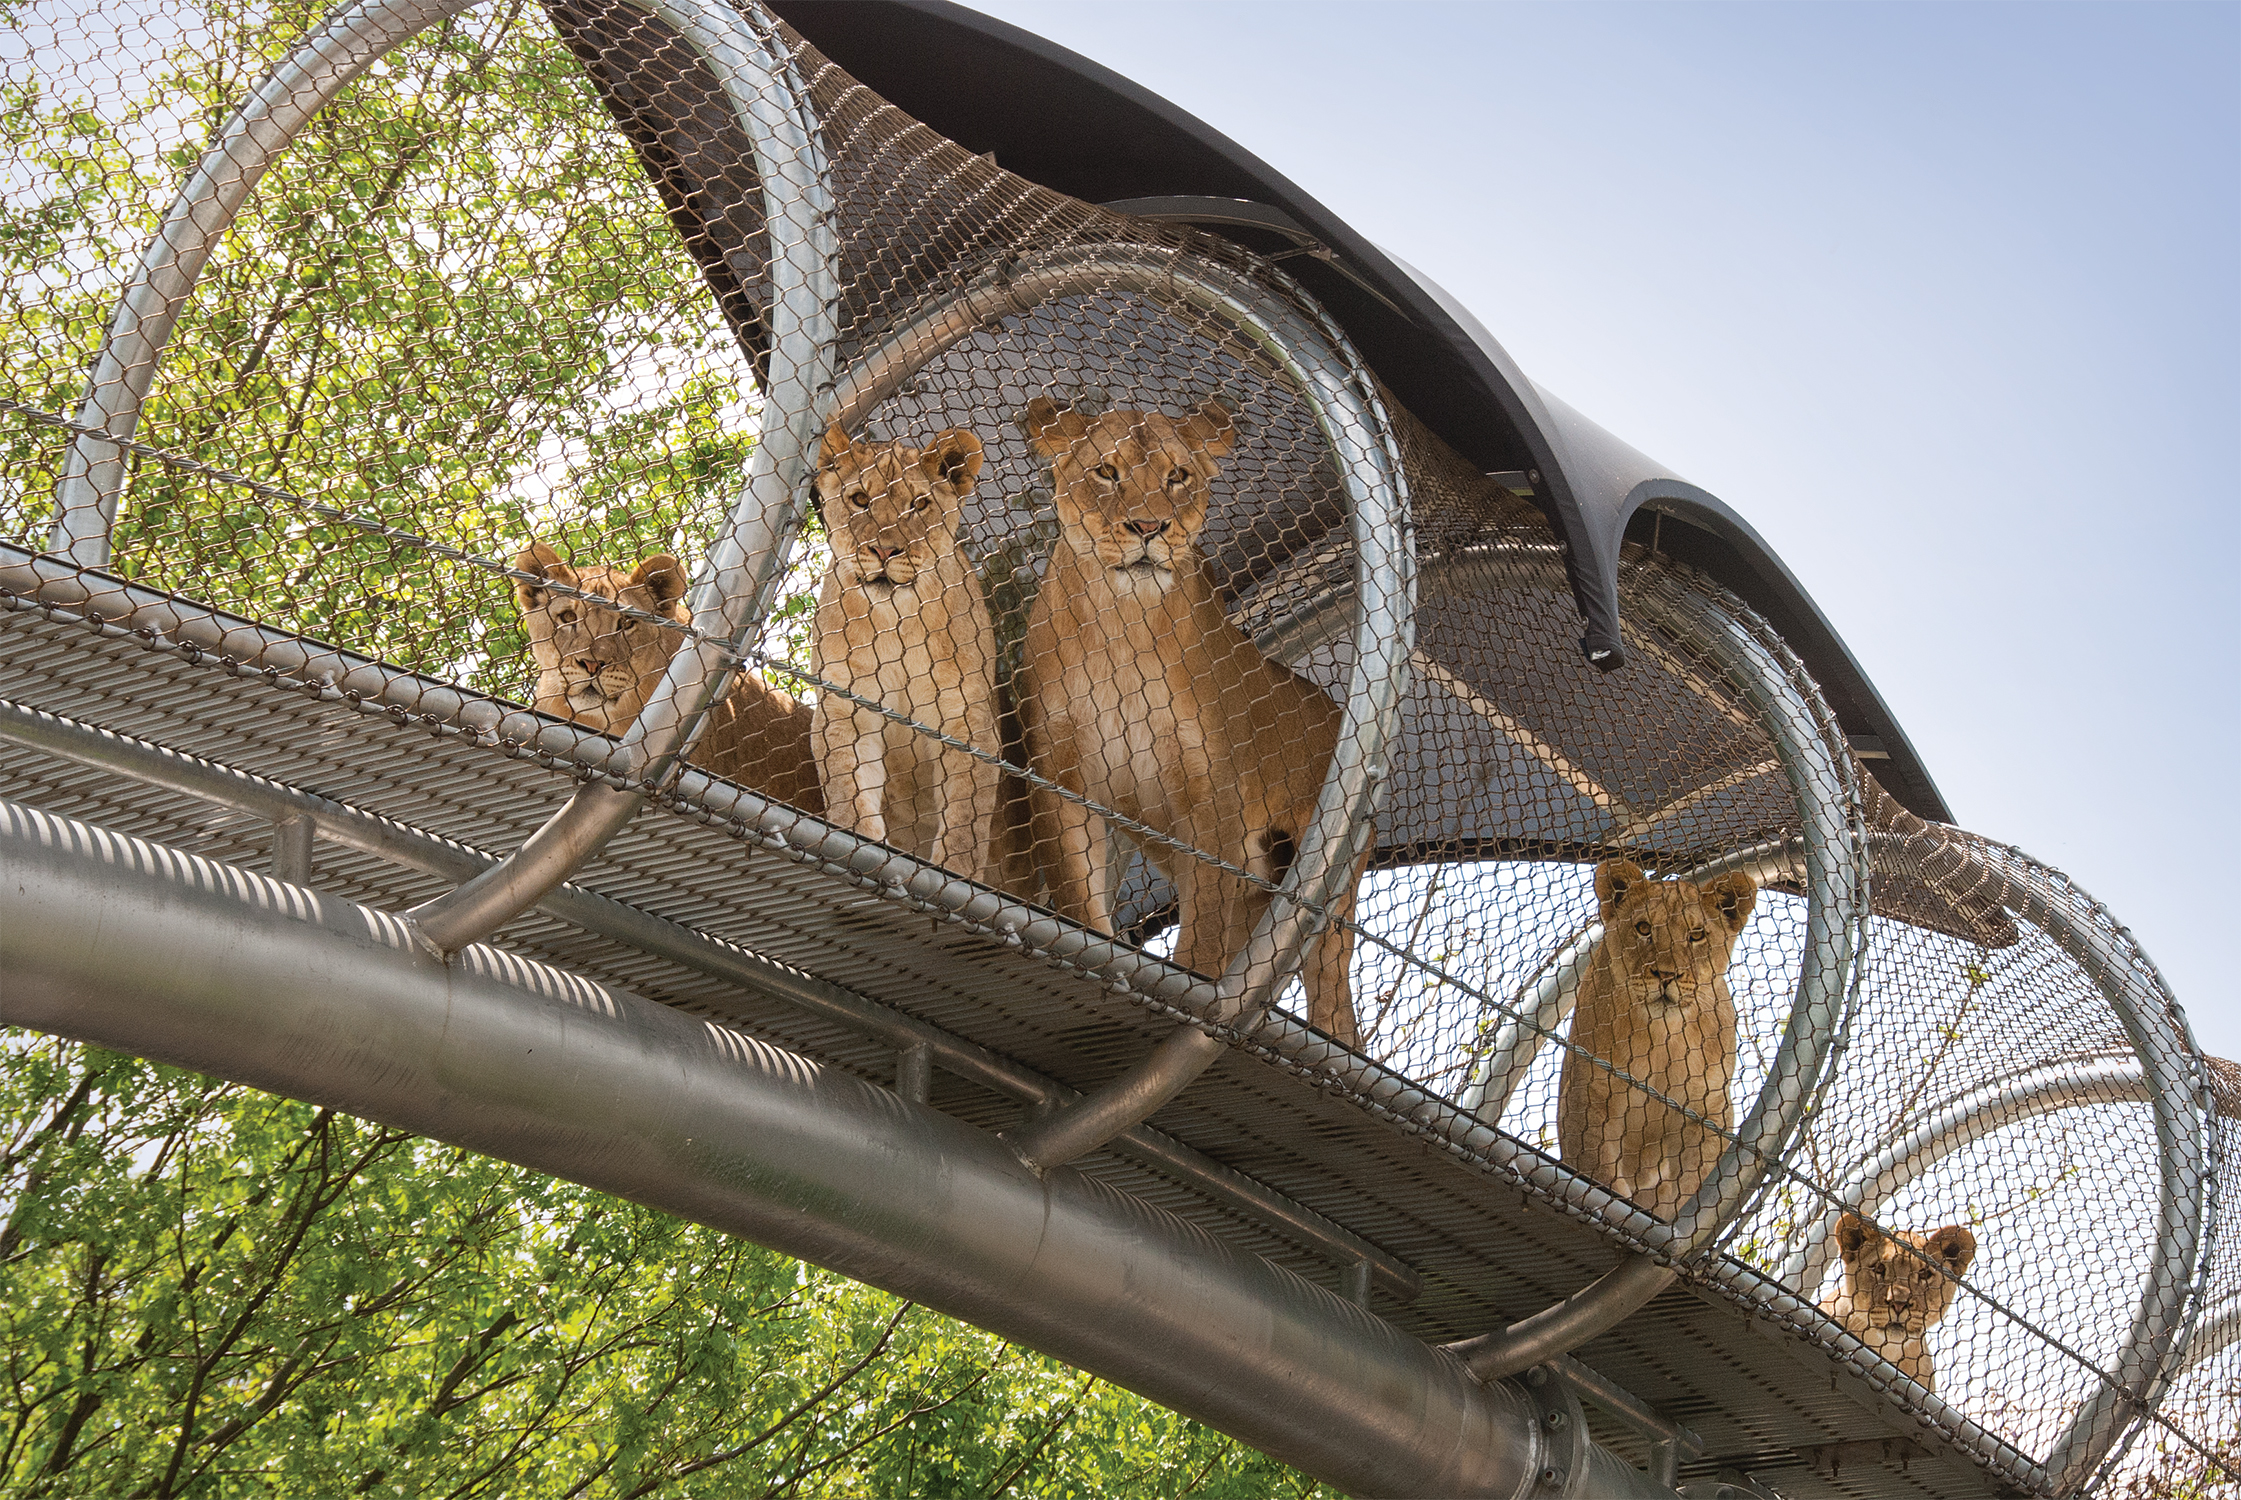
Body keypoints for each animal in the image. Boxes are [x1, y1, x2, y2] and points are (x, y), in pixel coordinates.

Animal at [806, 421, 999, 883]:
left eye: (919, 504)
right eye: (860, 499)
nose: (884, 550)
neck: (896, 624)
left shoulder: (969, 722)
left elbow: (965, 820)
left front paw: (956, 876)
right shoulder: (844, 709)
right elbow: (849, 789)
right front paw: (859, 847)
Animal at [1017, 394, 1362, 1040]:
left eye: (1177, 476)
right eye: (1107, 471)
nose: (1151, 528)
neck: (1122, 625)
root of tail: (1335, 706)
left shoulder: (1213, 797)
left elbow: (1199, 942)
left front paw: (1186, 993)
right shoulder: (1061, 775)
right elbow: (1079, 895)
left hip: (1325, 892)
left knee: (1331, 999)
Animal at [1559, 860, 1747, 1219]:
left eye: (1697, 934)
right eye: (1644, 928)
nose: (1667, 975)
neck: (1663, 1039)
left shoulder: (1709, 1111)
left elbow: (1691, 1187)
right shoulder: (1588, 1092)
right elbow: (1599, 1169)